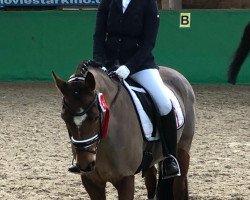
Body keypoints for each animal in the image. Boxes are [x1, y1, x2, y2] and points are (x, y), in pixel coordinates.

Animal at [52, 60, 195, 199]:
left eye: (96, 116)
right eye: (64, 117)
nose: (85, 164)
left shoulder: (125, 179)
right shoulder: (91, 181)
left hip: (182, 150)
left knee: (179, 186)